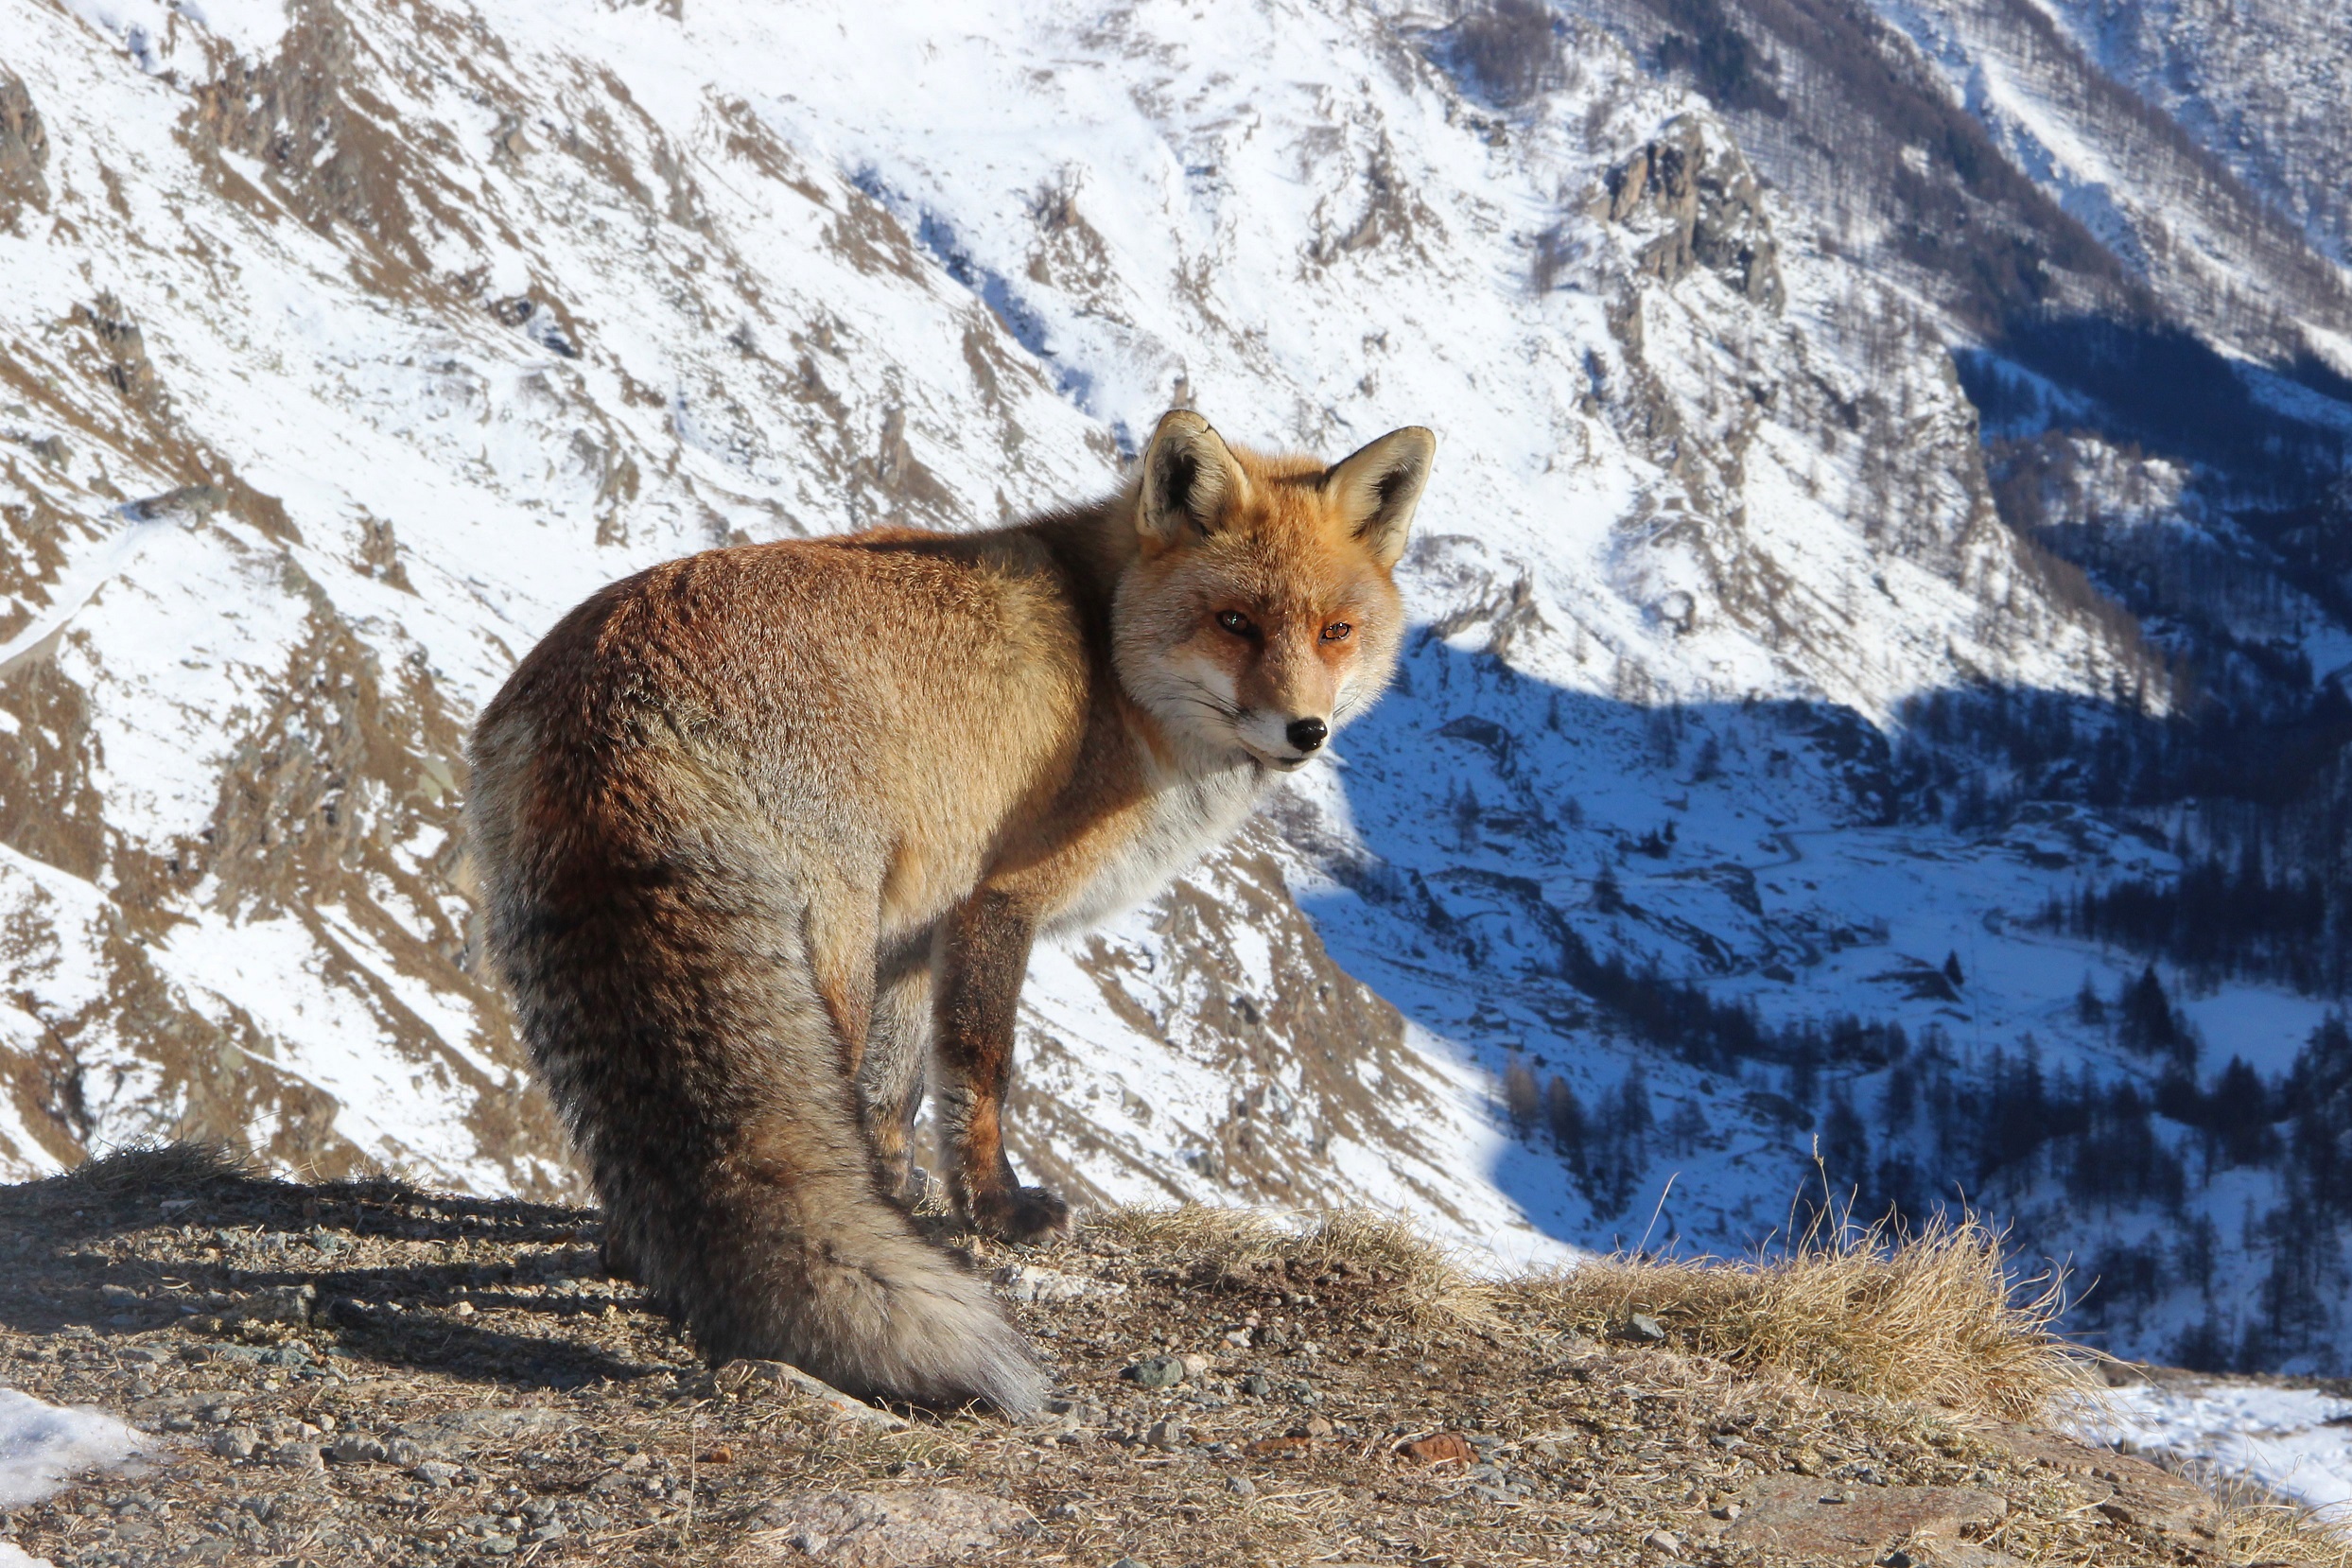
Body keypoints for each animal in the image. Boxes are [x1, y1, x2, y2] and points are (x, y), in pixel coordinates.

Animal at [462, 411, 1430, 1420]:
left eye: (1335, 632)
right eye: (1235, 622)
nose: (1304, 731)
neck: (1108, 669)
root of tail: (611, 678)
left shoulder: (913, 932)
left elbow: (892, 1094)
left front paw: (894, 1195)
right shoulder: (995, 905)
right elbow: (979, 1071)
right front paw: (996, 1212)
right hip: (825, 962)